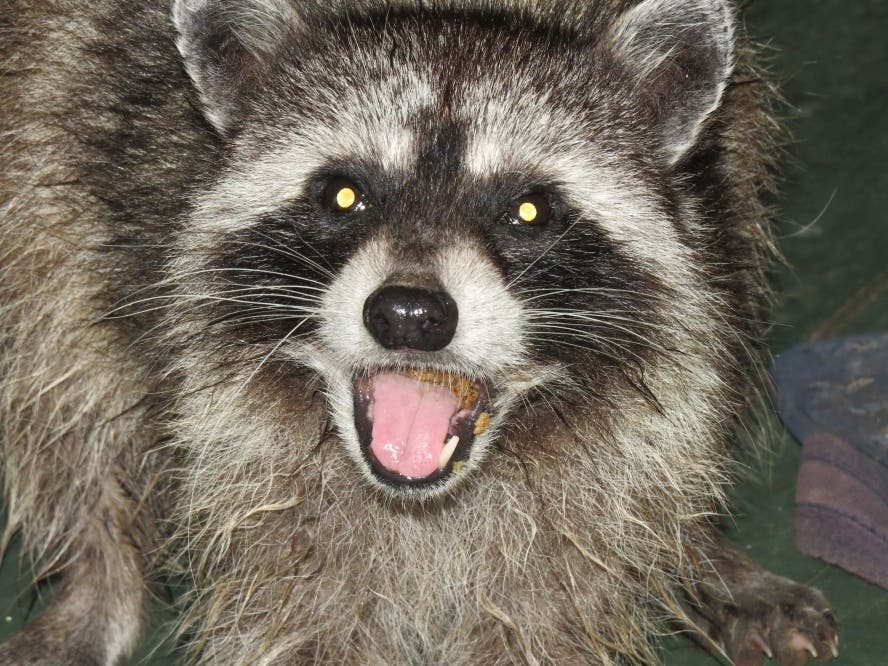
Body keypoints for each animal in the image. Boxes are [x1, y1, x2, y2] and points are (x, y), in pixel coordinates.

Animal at [0, 0, 840, 664]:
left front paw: (682, 542)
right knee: (54, 349)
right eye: (342, 195)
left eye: (529, 210)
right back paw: (101, 574)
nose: (409, 313)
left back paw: (692, 545)